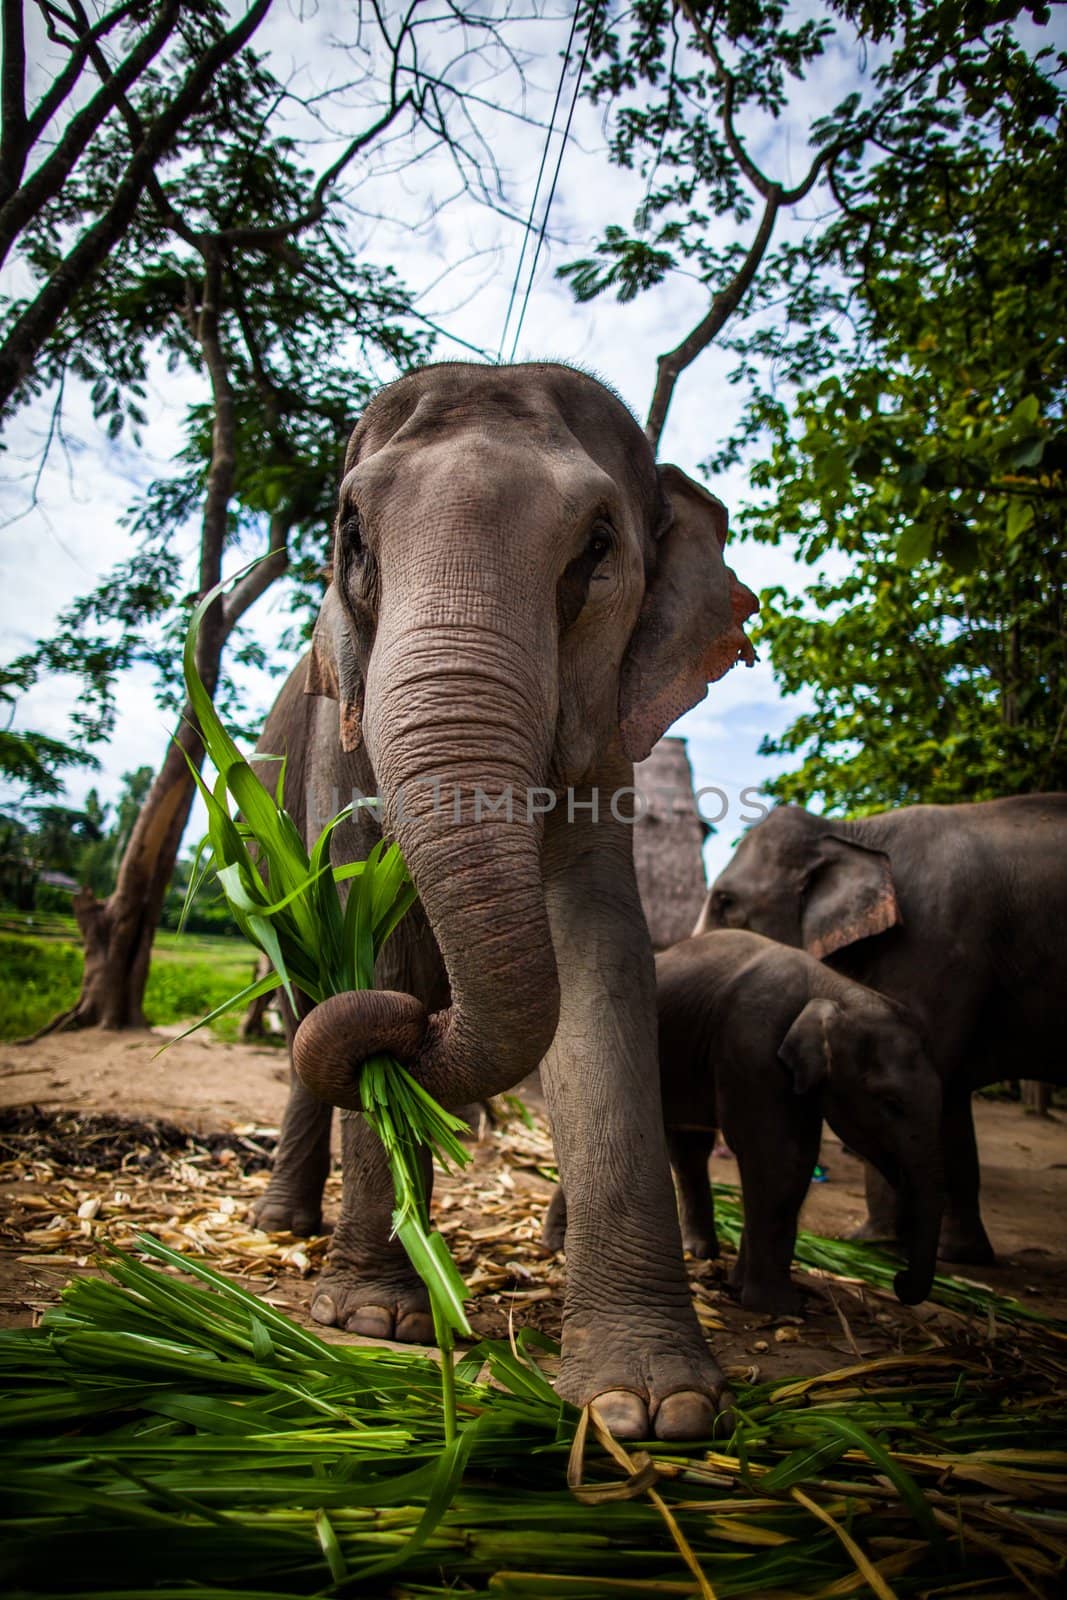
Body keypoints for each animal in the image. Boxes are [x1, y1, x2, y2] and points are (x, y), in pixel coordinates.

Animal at [251, 366, 758, 1452]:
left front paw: (648, 1406)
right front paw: (374, 1319)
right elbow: (368, 943)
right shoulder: (336, 751)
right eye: (351, 536)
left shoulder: (606, 737)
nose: (416, 1031)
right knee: (301, 989)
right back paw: (285, 1228)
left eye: (597, 547)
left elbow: (596, 957)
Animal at [547, 928, 947, 1312]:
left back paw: (698, 1252)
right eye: (890, 1102)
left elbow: (792, 1158)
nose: (898, 1281)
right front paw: (781, 1307)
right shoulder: (753, 1048)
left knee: (688, 1148)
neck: (832, 987)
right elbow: (779, 1157)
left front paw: (741, 1288)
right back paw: (558, 1245)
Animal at [697, 796, 1067, 1260]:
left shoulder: (936, 945)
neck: (853, 831)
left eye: (726, 901)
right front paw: (955, 1255)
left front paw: (871, 1243)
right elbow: (946, 1094)